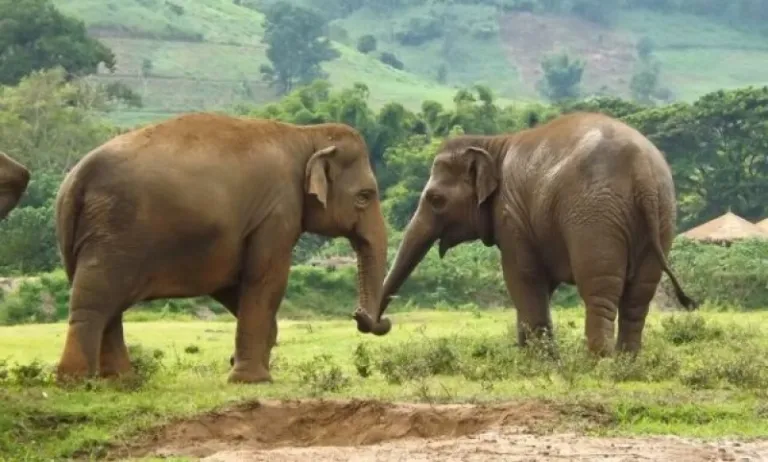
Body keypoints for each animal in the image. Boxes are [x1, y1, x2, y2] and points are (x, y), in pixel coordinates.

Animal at [54, 112, 391, 384]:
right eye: (364, 196)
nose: (366, 317)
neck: (306, 135)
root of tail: (75, 179)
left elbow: (231, 283)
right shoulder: (277, 211)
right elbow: (266, 278)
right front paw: (252, 380)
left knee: (106, 303)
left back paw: (121, 380)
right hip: (115, 229)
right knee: (96, 299)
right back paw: (76, 381)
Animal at [373, 111, 697, 356]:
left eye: (435, 199)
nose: (382, 323)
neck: (493, 143)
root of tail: (642, 170)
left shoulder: (512, 216)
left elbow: (522, 276)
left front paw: (540, 361)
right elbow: (539, 283)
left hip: (595, 217)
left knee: (599, 289)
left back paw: (598, 360)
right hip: (662, 215)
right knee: (639, 295)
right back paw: (627, 362)